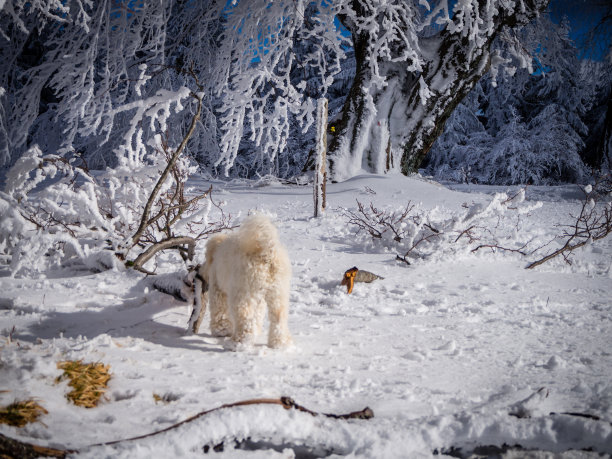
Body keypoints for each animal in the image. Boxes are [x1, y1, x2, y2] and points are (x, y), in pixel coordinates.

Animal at [188, 216, 292, 348]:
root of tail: (267, 253)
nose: (198, 271)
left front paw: (221, 331)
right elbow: (257, 315)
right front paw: (256, 331)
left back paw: (238, 344)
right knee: (278, 318)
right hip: (278, 293)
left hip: (242, 293)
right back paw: (280, 344)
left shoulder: (218, 287)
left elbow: (220, 310)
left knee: (244, 318)